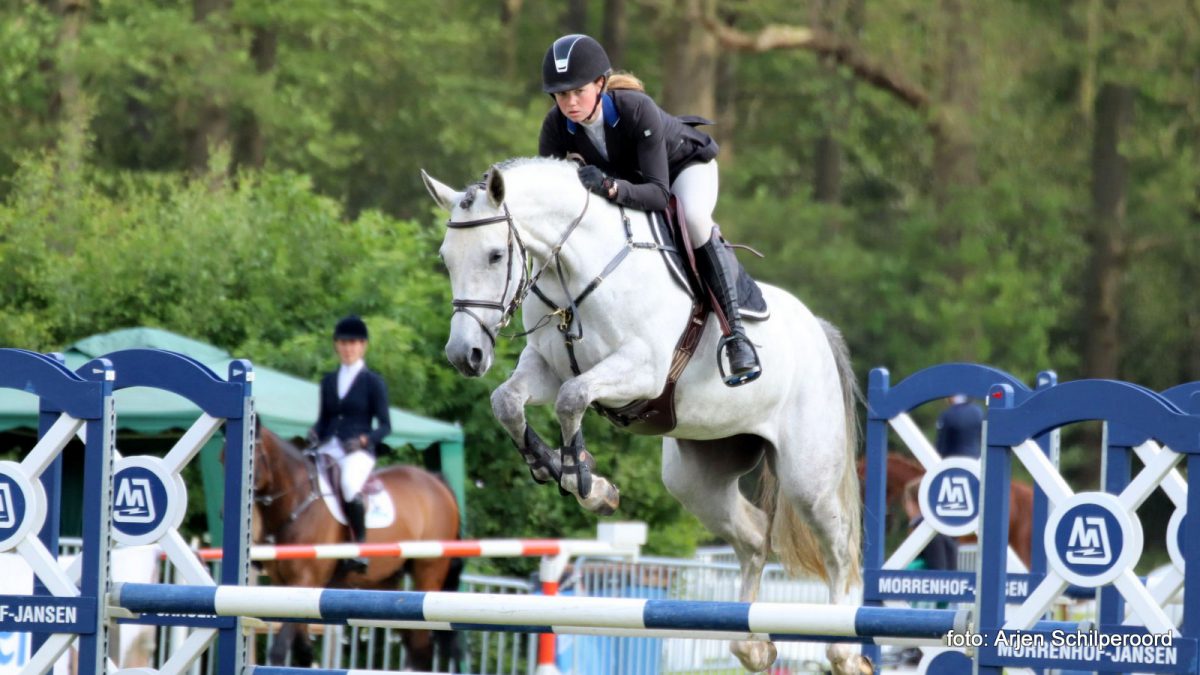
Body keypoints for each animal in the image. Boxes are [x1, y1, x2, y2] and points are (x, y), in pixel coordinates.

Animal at [250, 425, 460, 667]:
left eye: (253, 455)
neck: (298, 500)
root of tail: (436, 481)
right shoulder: (287, 587)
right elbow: (303, 650)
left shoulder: (305, 580)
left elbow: (279, 649)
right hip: (384, 583)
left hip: (429, 570)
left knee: (421, 644)